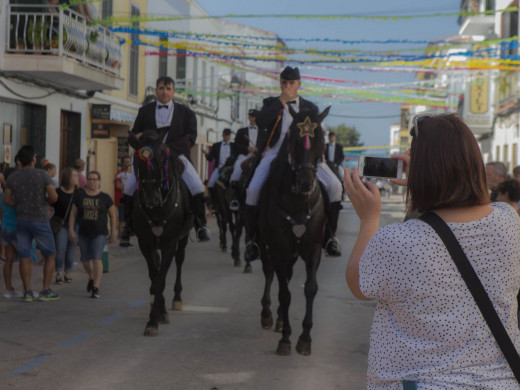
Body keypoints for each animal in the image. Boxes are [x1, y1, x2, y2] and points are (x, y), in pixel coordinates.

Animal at [128, 129, 193, 336]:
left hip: (182, 241)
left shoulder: (169, 243)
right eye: (139, 162)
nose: (150, 198)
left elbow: (160, 281)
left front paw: (153, 321)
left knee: (179, 262)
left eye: (158, 161)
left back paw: (177, 299)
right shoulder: (145, 243)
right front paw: (158, 313)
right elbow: (154, 277)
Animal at [258, 105, 332, 354]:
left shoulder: (313, 248)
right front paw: (286, 339)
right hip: (265, 246)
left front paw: (305, 337)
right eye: (293, 141)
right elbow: (284, 293)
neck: (298, 202)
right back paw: (268, 314)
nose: (306, 184)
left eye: (321, 141)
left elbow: (310, 288)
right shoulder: (278, 248)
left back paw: (281, 319)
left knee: (287, 276)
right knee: (270, 273)